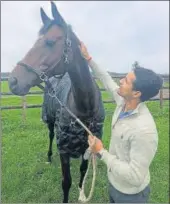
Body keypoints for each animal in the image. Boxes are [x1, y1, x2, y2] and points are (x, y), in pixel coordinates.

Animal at [8, 1, 105, 202]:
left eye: (50, 42)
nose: (13, 81)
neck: (85, 110)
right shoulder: (64, 150)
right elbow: (66, 182)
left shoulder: (88, 145)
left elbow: (83, 172)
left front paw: (81, 191)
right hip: (51, 123)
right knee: (51, 136)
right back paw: (48, 157)